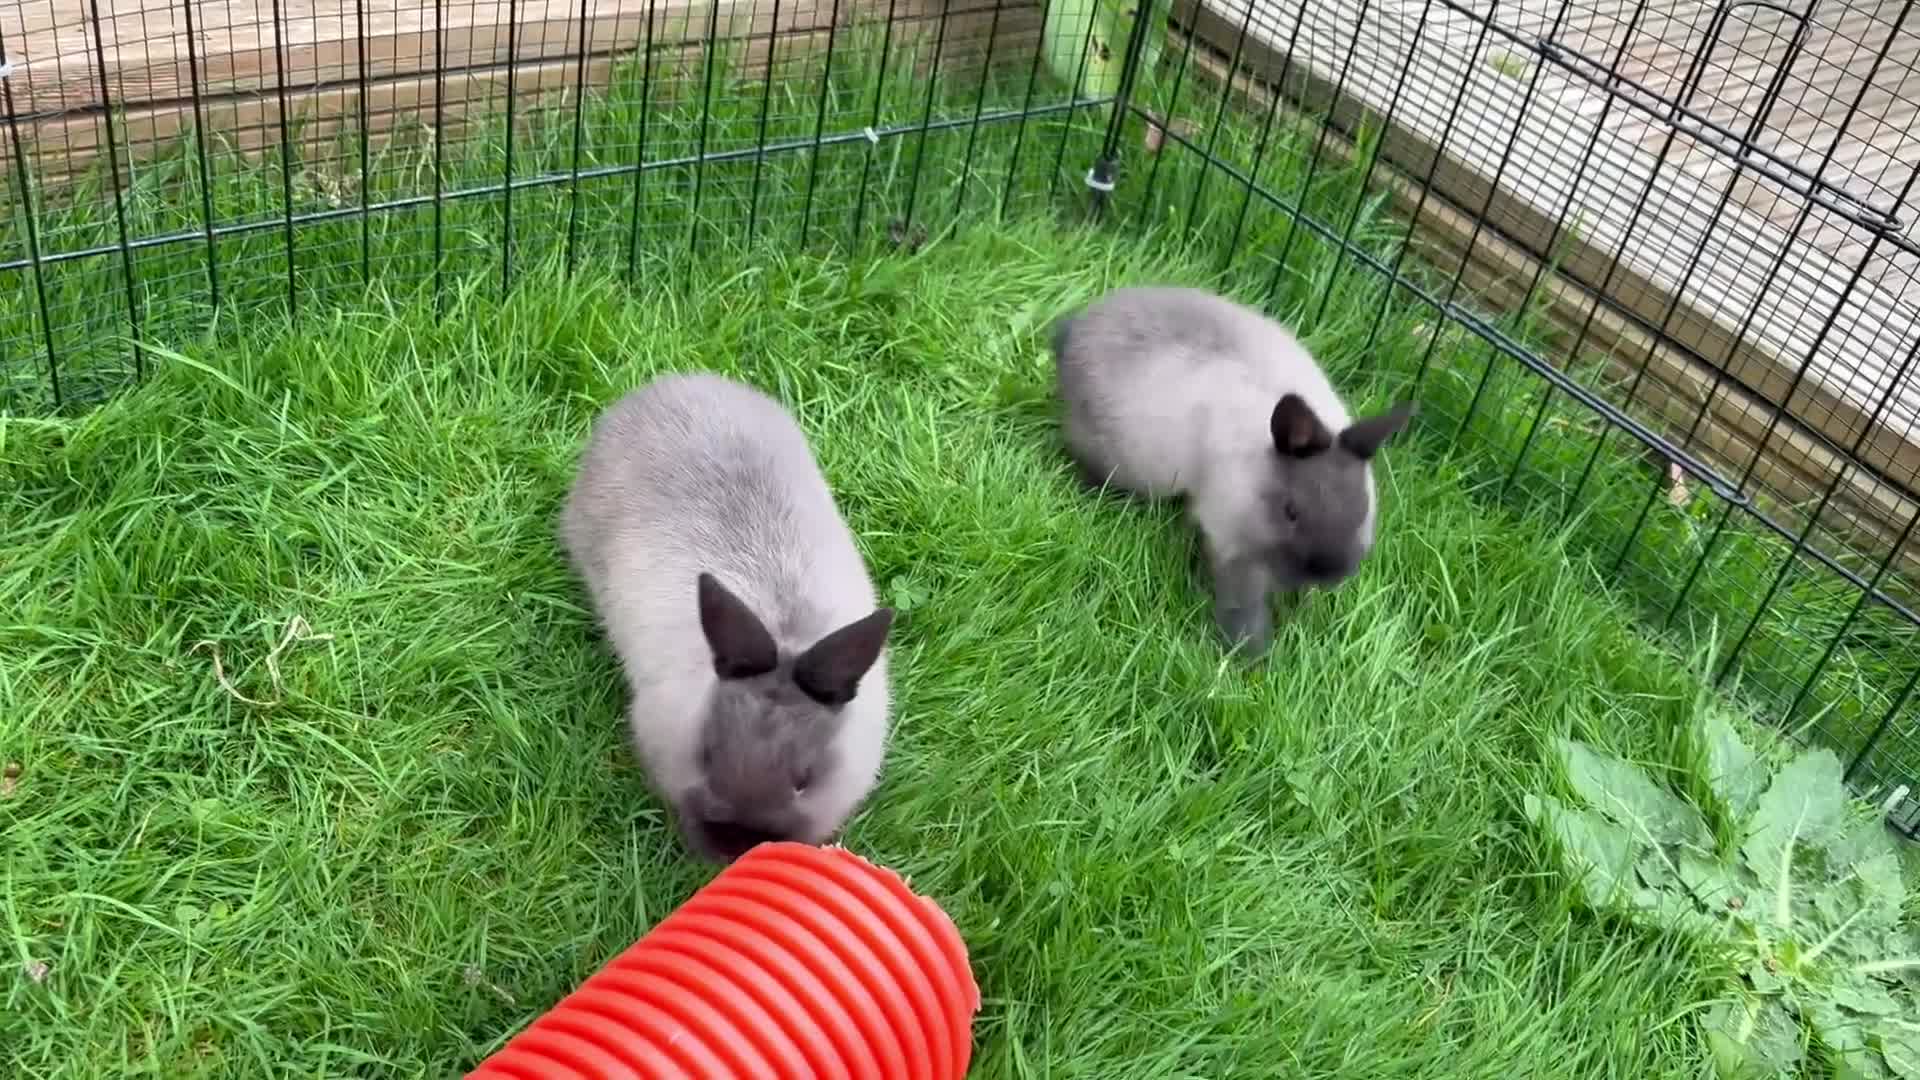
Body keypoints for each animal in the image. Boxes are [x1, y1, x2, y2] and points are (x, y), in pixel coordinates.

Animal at [1049, 285, 1415, 657]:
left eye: (1362, 509)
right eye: (1291, 512)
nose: (1330, 573)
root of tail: (1073, 333)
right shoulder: (1234, 549)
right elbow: (1242, 606)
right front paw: (1251, 657)